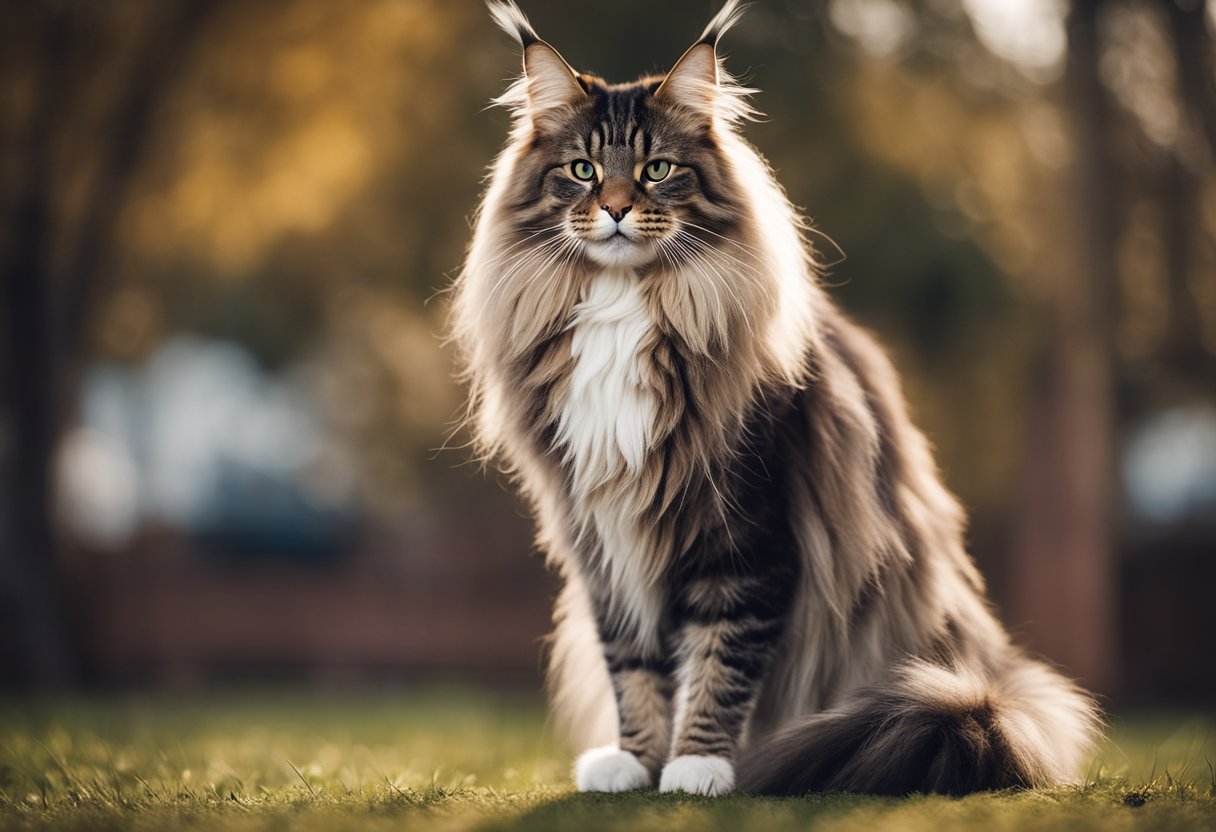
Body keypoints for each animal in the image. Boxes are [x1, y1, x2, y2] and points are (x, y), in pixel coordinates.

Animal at [454, 0, 1104, 793]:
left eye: (656, 170)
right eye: (582, 170)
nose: (614, 208)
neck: (623, 308)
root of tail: (985, 690)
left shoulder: (747, 536)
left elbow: (719, 663)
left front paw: (696, 766)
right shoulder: (602, 539)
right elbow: (633, 666)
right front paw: (636, 761)